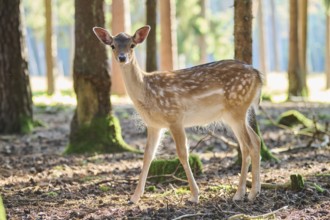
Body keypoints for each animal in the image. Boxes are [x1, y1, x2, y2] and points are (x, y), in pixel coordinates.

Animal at [93, 25, 262, 205]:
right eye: (113, 46)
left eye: (132, 45)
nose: (122, 57)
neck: (146, 93)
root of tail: (258, 75)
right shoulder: (154, 125)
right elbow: (148, 156)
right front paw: (134, 197)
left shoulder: (174, 117)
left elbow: (182, 153)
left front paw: (194, 195)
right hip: (235, 114)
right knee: (255, 140)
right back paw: (255, 190)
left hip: (237, 108)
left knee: (247, 145)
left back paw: (243, 193)